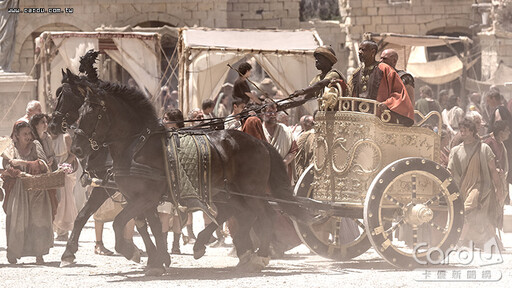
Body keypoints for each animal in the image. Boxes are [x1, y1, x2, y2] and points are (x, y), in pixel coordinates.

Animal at [69, 77, 310, 272]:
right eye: (78, 113)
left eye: (91, 114)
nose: (76, 149)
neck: (138, 145)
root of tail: (259, 143)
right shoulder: (139, 199)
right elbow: (149, 226)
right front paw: (157, 261)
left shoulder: (143, 198)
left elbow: (120, 223)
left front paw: (134, 252)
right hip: (231, 193)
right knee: (240, 214)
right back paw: (227, 249)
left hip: (251, 191)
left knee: (264, 215)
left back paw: (259, 255)